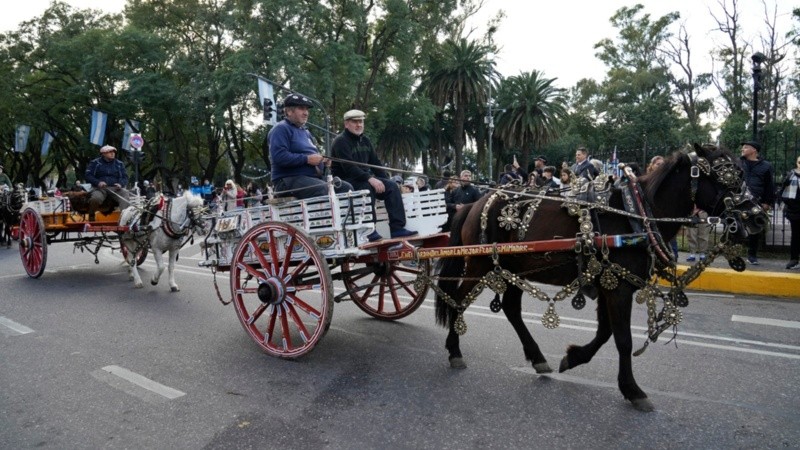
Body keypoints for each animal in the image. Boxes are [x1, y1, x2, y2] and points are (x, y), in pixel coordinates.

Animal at [438, 145, 768, 412]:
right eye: (728, 176)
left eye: (741, 172)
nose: (759, 216)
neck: (636, 216)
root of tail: (474, 205)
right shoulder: (617, 287)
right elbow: (623, 339)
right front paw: (633, 390)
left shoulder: (607, 282)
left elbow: (605, 332)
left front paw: (573, 358)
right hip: (479, 263)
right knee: (457, 300)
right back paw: (454, 350)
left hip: (514, 267)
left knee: (511, 309)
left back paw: (537, 357)